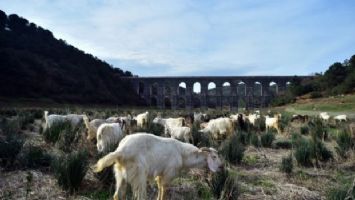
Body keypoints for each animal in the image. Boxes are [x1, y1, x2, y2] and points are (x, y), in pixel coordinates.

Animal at [93, 133, 224, 200]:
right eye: (213, 157)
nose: (221, 167)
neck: (182, 154)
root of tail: (121, 150)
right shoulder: (168, 174)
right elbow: (164, 191)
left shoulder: (161, 175)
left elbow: (160, 189)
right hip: (139, 175)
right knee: (139, 196)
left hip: (120, 174)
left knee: (117, 195)